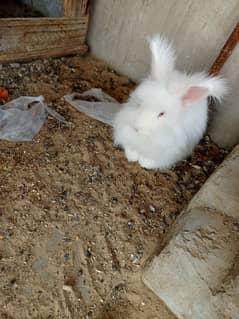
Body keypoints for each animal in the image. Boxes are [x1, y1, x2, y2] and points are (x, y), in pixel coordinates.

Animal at [113, 34, 227, 170]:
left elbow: (152, 160)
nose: (137, 128)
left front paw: (144, 163)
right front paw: (132, 157)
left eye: (162, 114)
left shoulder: (169, 151)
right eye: (139, 103)